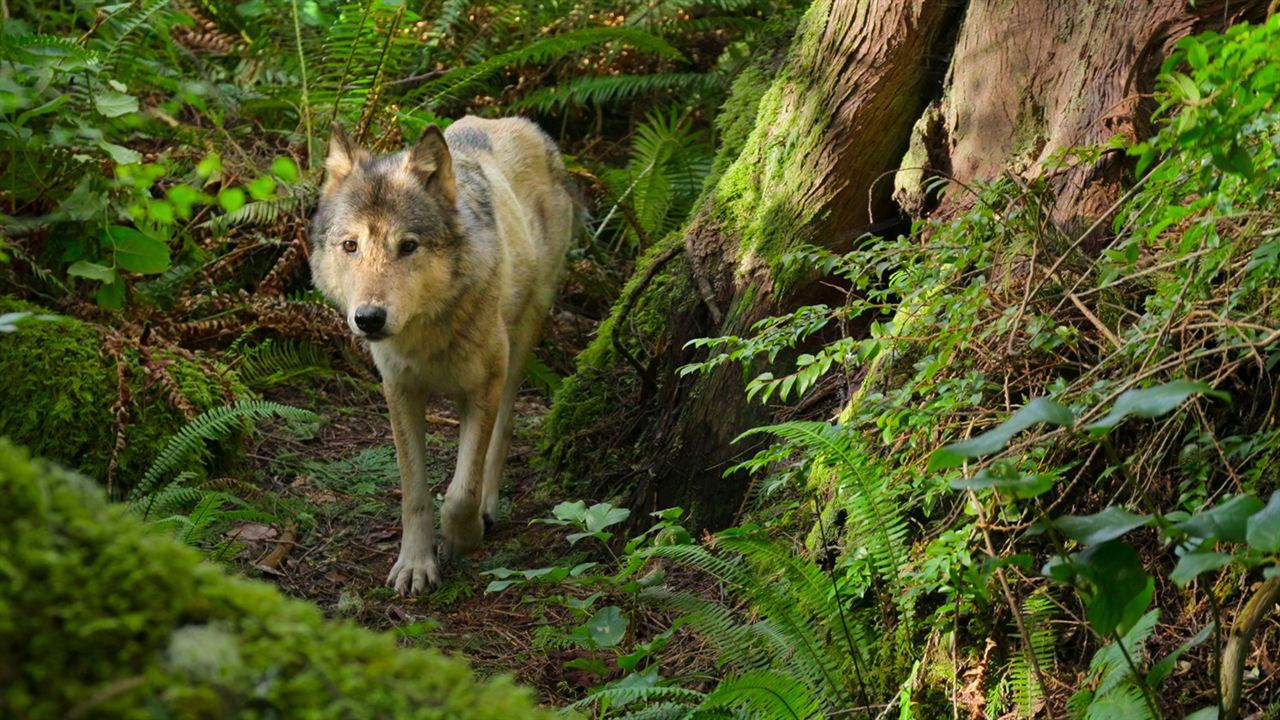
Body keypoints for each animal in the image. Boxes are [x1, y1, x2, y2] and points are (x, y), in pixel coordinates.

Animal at [309, 116, 576, 589]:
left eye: (408, 246)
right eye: (350, 246)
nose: (369, 319)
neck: (426, 335)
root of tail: (522, 123)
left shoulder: (484, 385)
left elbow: (459, 493)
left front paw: (463, 537)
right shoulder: (399, 390)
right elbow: (414, 492)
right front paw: (416, 564)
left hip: (521, 339)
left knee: (503, 430)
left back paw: (488, 507)